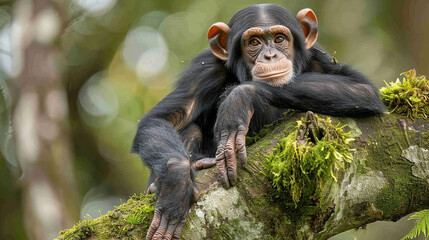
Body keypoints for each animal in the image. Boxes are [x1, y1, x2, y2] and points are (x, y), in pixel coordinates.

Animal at [130, 4, 384, 240]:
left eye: (279, 39)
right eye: (254, 42)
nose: (269, 56)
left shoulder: (319, 58)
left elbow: (362, 89)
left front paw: (239, 97)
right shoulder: (205, 70)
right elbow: (164, 118)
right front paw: (177, 181)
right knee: (189, 128)